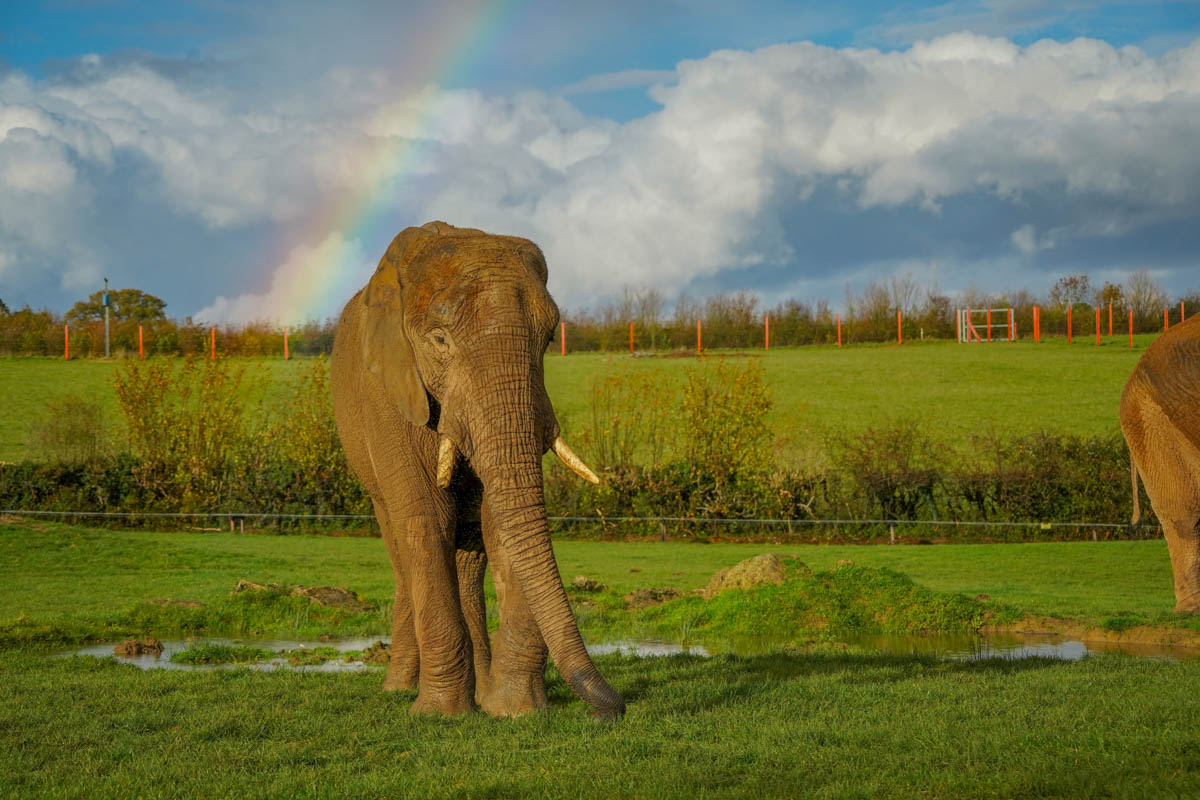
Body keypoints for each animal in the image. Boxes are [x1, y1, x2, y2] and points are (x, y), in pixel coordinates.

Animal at [330, 220, 625, 718]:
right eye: (439, 340)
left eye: (550, 339)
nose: (614, 707)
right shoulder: (386, 393)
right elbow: (426, 519)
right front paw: (437, 715)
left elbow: (502, 521)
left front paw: (514, 711)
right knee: (403, 546)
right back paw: (400, 688)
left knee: (467, 560)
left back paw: (480, 694)